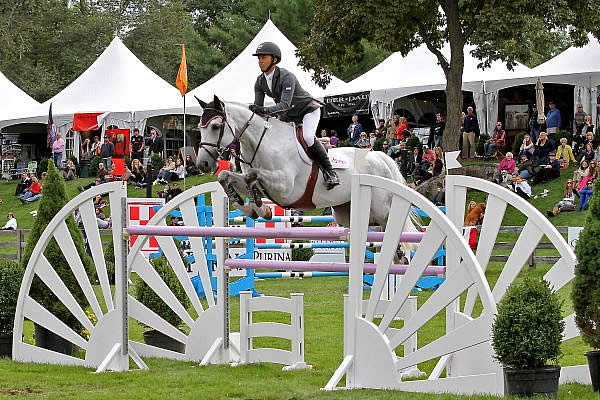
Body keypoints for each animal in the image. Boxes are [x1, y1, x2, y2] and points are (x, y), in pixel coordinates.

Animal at [195, 96, 420, 233]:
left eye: (216, 126)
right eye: (200, 127)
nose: (202, 164)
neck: (261, 143)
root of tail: (379, 157)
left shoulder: (286, 188)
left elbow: (254, 177)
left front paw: (259, 207)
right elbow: (226, 177)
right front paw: (251, 208)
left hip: (382, 210)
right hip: (347, 212)